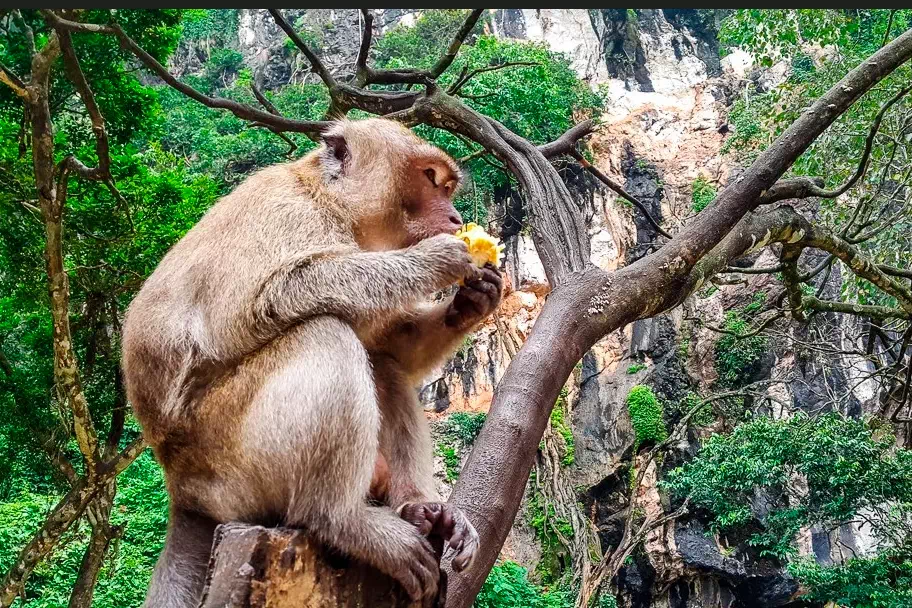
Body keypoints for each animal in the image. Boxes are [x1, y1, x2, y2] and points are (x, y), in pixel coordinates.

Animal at [121, 117, 503, 607]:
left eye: (449, 186)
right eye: (431, 179)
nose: (456, 219)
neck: (330, 202)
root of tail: (181, 492)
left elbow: (391, 346)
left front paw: (474, 300)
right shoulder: (283, 210)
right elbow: (260, 303)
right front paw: (439, 258)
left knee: (382, 365)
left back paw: (421, 508)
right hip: (230, 460)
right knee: (324, 332)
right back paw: (340, 520)